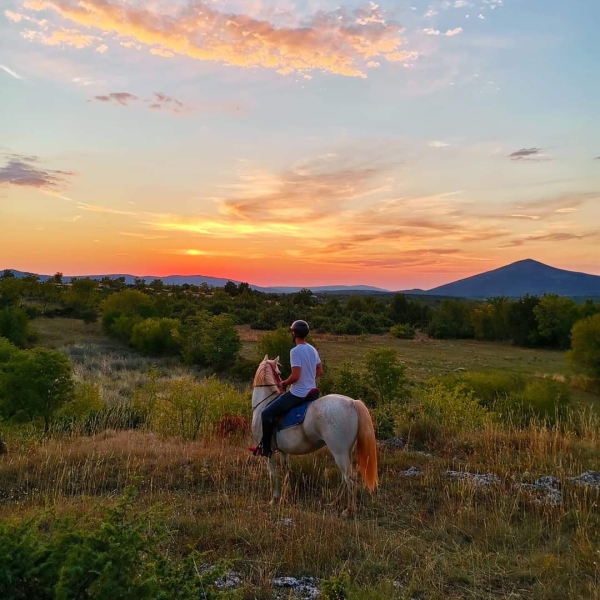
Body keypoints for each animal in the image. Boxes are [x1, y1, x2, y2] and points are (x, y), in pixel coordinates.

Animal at [251, 356, 378, 516]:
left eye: (279, 373)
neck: (265, 403)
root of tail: (351, 402)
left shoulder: (269, 452)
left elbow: (272, 474)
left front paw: (274, 499)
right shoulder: (284, 452)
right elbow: (286, 472)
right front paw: (287, 496)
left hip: (339, 452)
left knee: (349, 478)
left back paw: (348, 510)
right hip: (346, 452)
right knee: (344, 478)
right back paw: (334, 502)